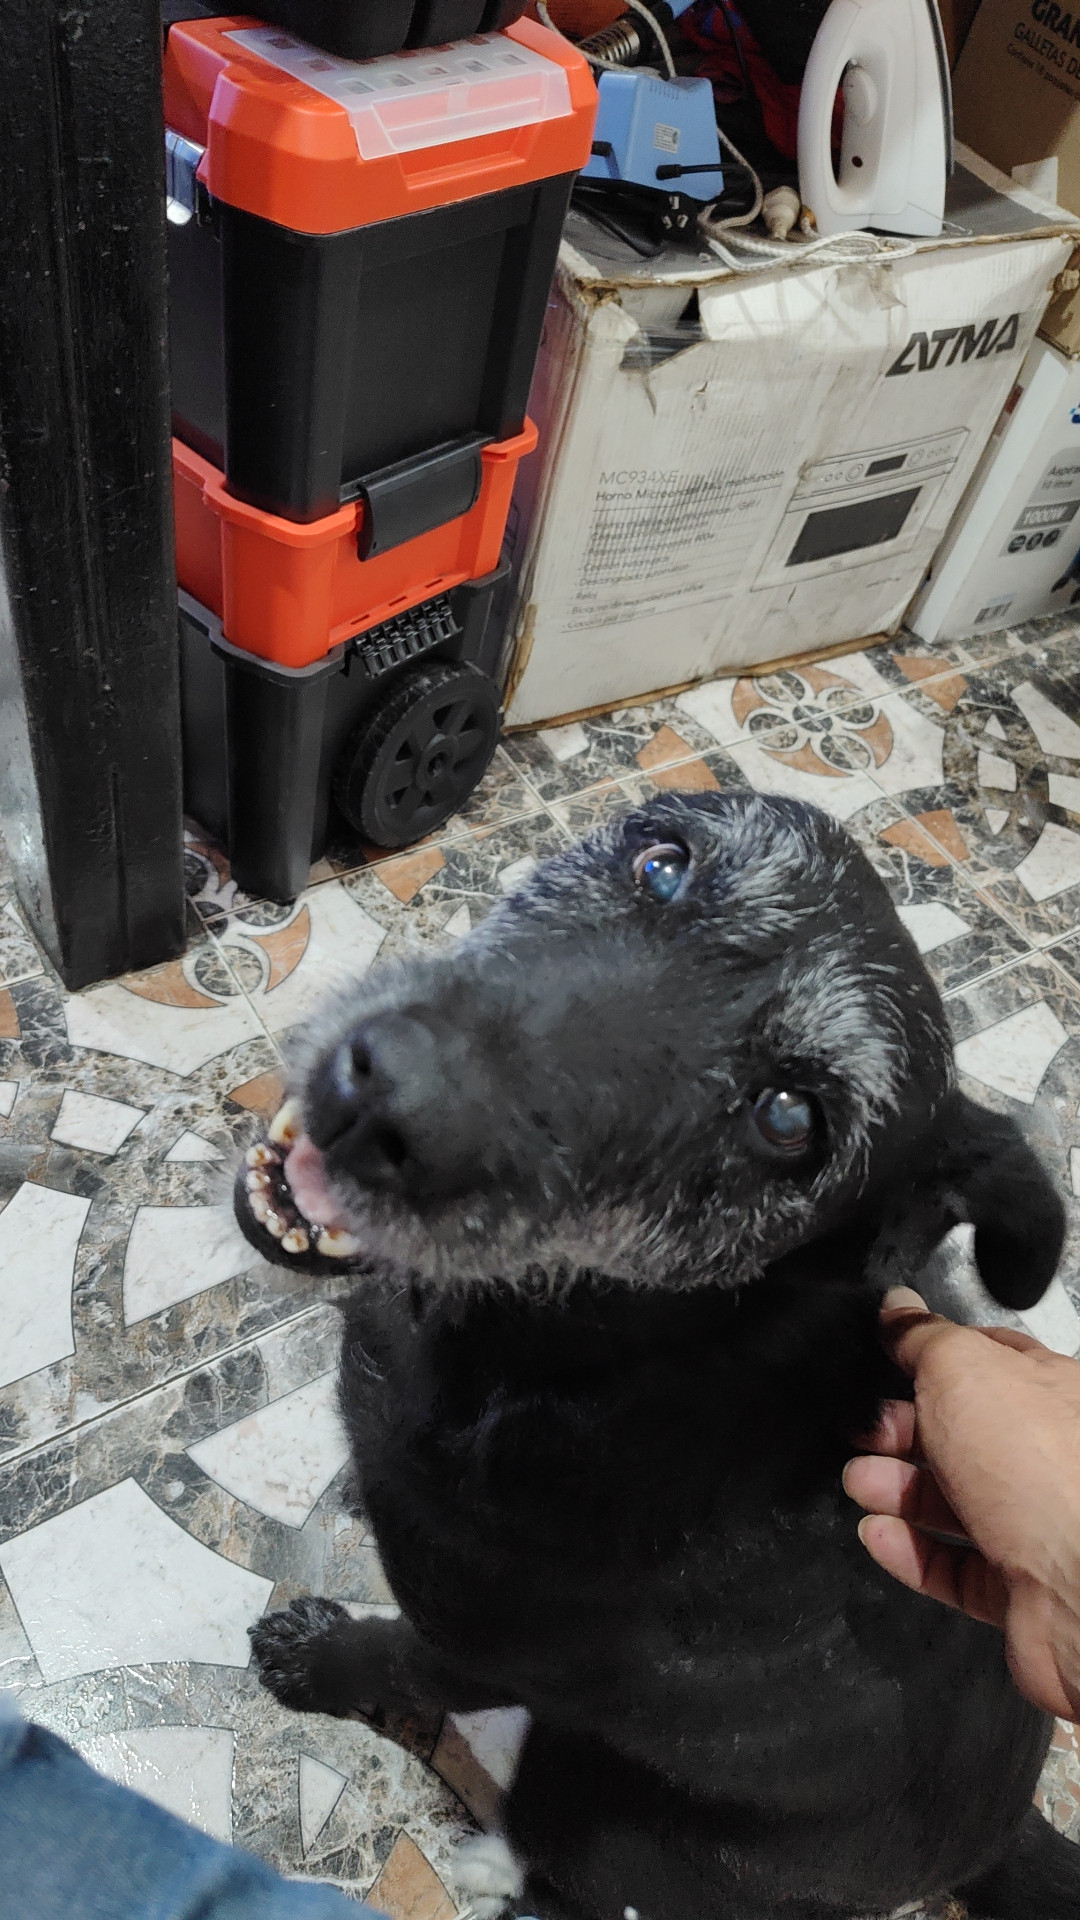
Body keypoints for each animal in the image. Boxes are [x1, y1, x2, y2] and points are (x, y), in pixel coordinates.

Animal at [235, 790, 1079, 1920]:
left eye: (788, 1118)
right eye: (663, 864)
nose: (383, 1098)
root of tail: (1000, 1842)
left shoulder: (471, 1660)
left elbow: (394, 1658)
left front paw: (319, 1656)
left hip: (591, 1804)